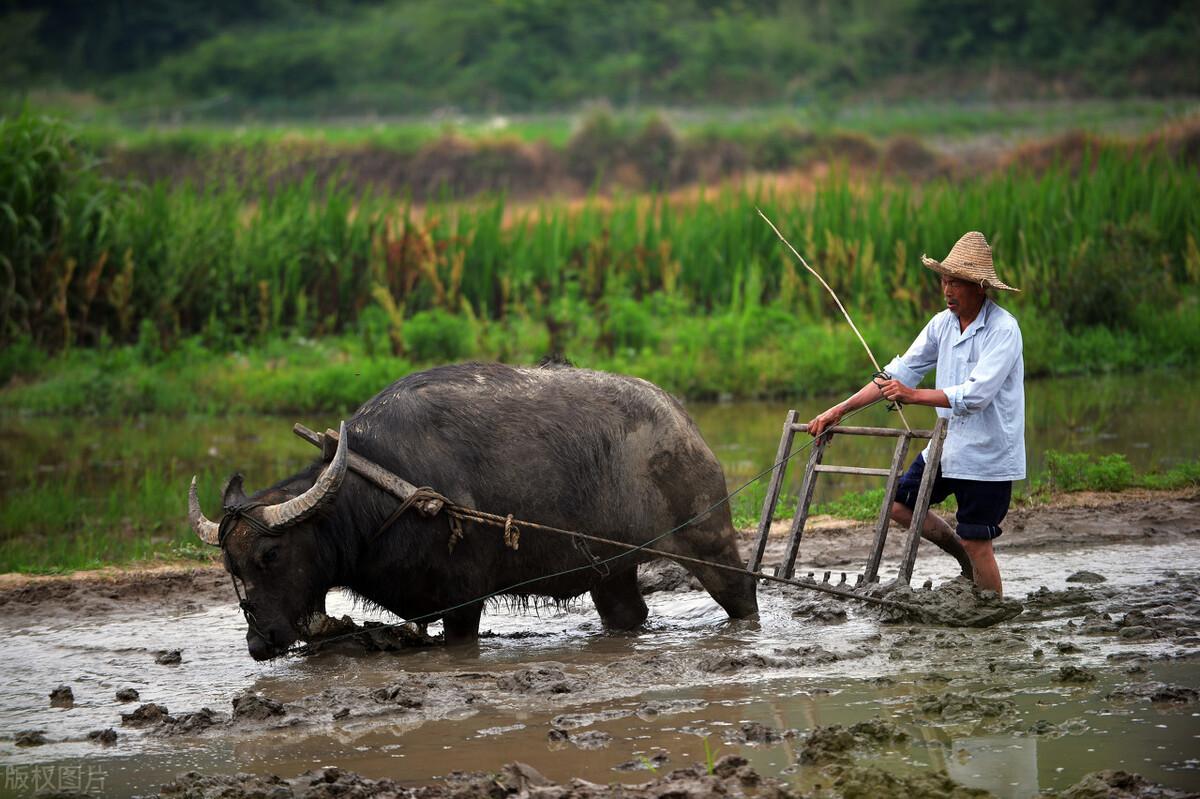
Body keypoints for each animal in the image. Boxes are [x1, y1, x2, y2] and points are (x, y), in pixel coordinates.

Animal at [188, 362, 758, 657]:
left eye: (271, 555)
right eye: (231, 565)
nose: (259, 642)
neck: (379, 495)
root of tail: (682, 423)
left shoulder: (462, 601)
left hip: (709, 541)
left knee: (743, 595)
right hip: (610, 570)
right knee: (628, 614)